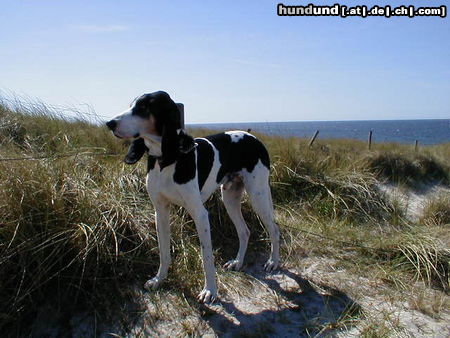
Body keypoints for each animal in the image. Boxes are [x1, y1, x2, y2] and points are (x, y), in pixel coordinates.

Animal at [107, 91, 280, 302]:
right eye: (131, 105)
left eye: (143, 107)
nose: (109, 123)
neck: (166, 160)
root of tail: (255, 139)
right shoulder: (160, 212)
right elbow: (164, 252)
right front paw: (159, 279)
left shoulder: (200, 214)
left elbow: (207, 257)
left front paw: (210, 290)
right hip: (230, 197)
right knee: (244, 231)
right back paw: (238, 262)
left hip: (258, 195)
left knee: (274, 229)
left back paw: (273, 262)